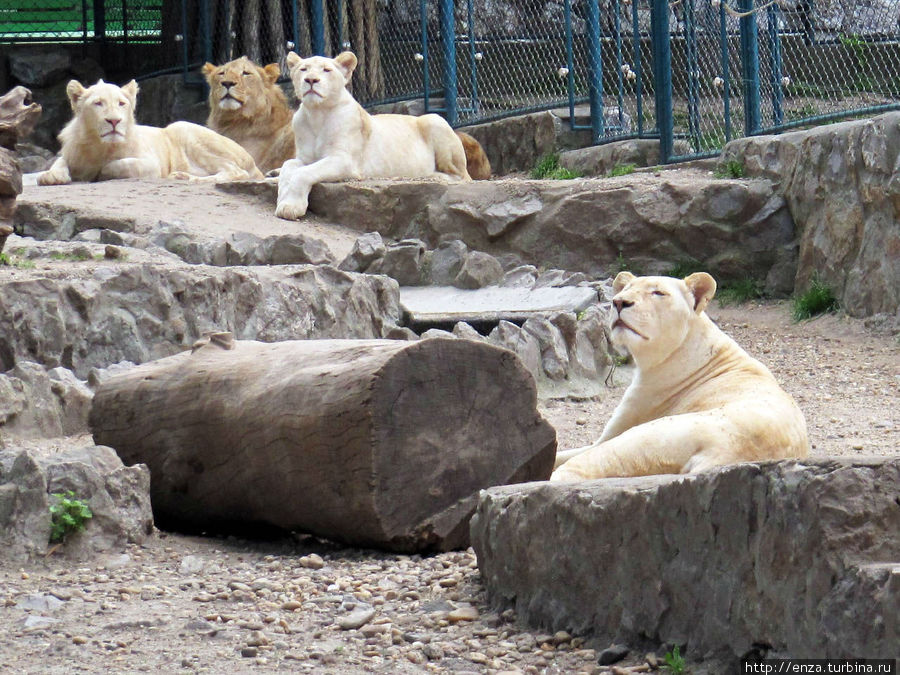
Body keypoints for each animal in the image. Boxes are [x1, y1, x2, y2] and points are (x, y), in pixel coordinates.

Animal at [39, 79, 264, 185]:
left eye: (121, 103)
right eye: (98, 103)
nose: (114, 121)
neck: (100, 145)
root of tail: (253, 162)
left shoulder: (152, 165)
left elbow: (115, 165)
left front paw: (99, 173)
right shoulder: (72, 153)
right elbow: (59, 161)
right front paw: (50, 176)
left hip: (182, 128)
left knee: (235, 171)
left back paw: (187, 178)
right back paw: (181, 175)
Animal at [274, 53, 472, 222]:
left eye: (326, 70)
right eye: (303, 69)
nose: (311, 80)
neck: (317, 114)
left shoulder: (345, 161)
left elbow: (302, 174)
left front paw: (291, 207)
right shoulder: (304, 158)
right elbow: (288, 166)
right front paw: (284, 197)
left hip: (434, 119)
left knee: (463, 176)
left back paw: (432, 176)